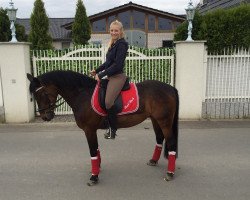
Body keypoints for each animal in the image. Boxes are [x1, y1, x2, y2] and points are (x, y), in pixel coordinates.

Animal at [26, 70, 180, 186]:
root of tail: (170, 88)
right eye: (34, 95)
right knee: (159, 139)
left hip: (164, 121)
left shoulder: (89, 129)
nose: (45, 116)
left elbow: (92, 151)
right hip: (155, 120)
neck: (83, 94)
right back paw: (153, 161)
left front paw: (94, 177)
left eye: (42, 93)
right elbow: (97, 150)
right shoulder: (92, 129)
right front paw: (97, 168)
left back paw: (170, 173)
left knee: (171, 142)